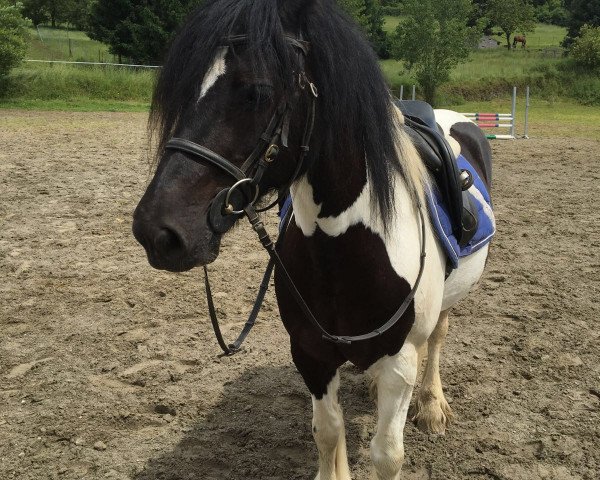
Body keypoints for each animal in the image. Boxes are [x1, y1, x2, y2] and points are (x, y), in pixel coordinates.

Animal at [134, 1, 494, 478]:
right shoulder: (310, 353)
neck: (343, 249)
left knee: (437, 338)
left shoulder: (400, 359)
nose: (157, 231)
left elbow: (387, 454)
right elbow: (327, 431)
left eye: (258, 92)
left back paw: (432, 406)